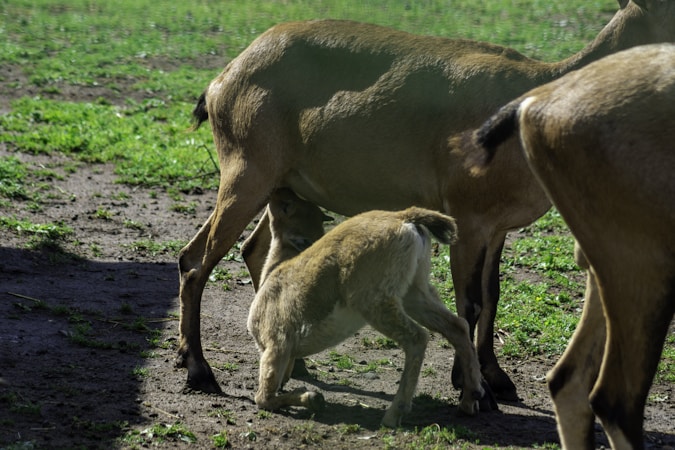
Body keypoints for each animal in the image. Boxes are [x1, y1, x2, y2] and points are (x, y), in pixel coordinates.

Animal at [176, 0, 675, 398]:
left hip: (282, 185)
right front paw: (471, 386)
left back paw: (293, 360)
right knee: (195, 260)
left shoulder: (496, 227)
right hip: (246, 171)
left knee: (254, 248)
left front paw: (498, 380)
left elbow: (492, 295)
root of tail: (222, 81)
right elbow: (470, 303)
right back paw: (199, 370)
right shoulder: (467, 217)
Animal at [247, 188, 487, 428]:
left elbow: (263, 398)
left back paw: (394, 413)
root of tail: (404, 218)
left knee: (417, 337)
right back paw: (472, 396)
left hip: (376, 302)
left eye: (287, 206)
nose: (278, 191)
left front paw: (313, 398)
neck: (274, 273)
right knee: (457, 326)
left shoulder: (276, 345)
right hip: (415, 292)